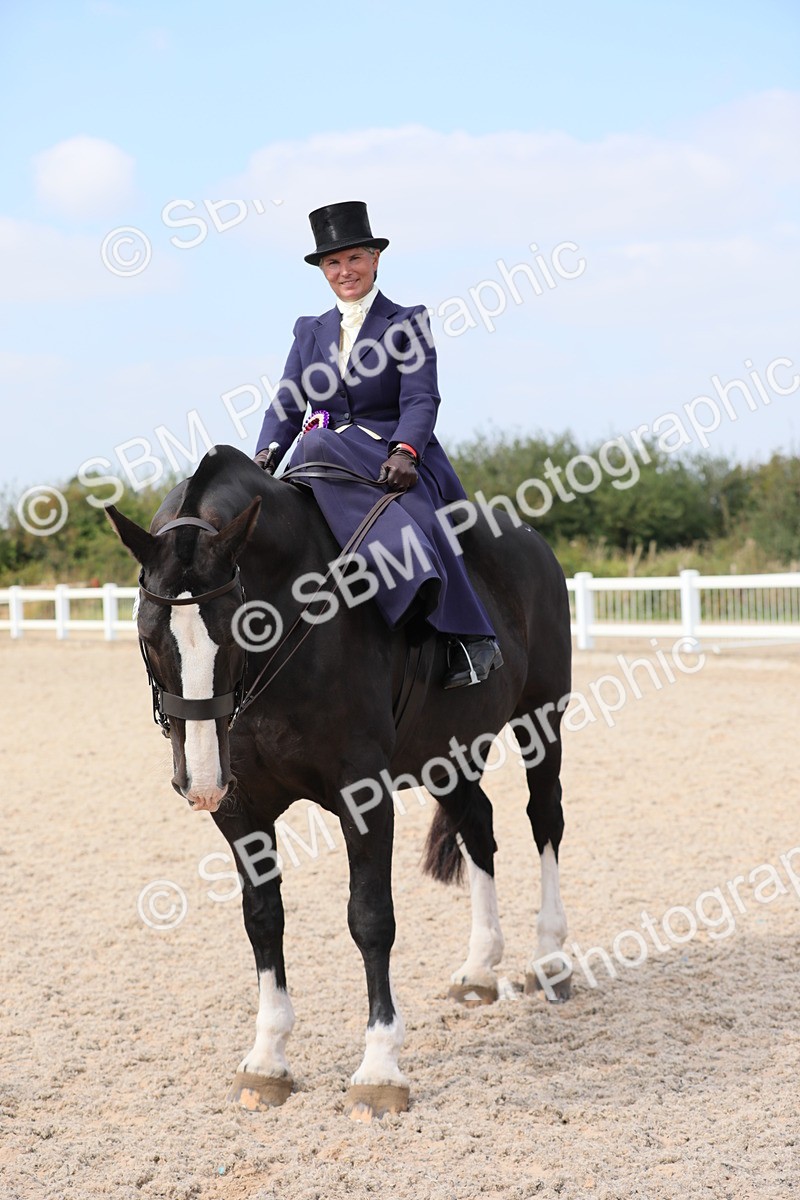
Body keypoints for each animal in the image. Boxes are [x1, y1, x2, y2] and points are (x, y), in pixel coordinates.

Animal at [107, 443, 573, 1120]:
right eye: (147, 634)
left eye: (243, 627)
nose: (200, 780)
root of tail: (532, 539)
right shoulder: (241, 807)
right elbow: (263, 917)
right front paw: (267, 1059)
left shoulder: (364, 793)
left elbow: (370, 917)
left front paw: (380, 1069)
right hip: (449, 752)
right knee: (479, 828)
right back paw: (480, 969)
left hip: (543, 718)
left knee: (546, 820)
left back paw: (551, 958)